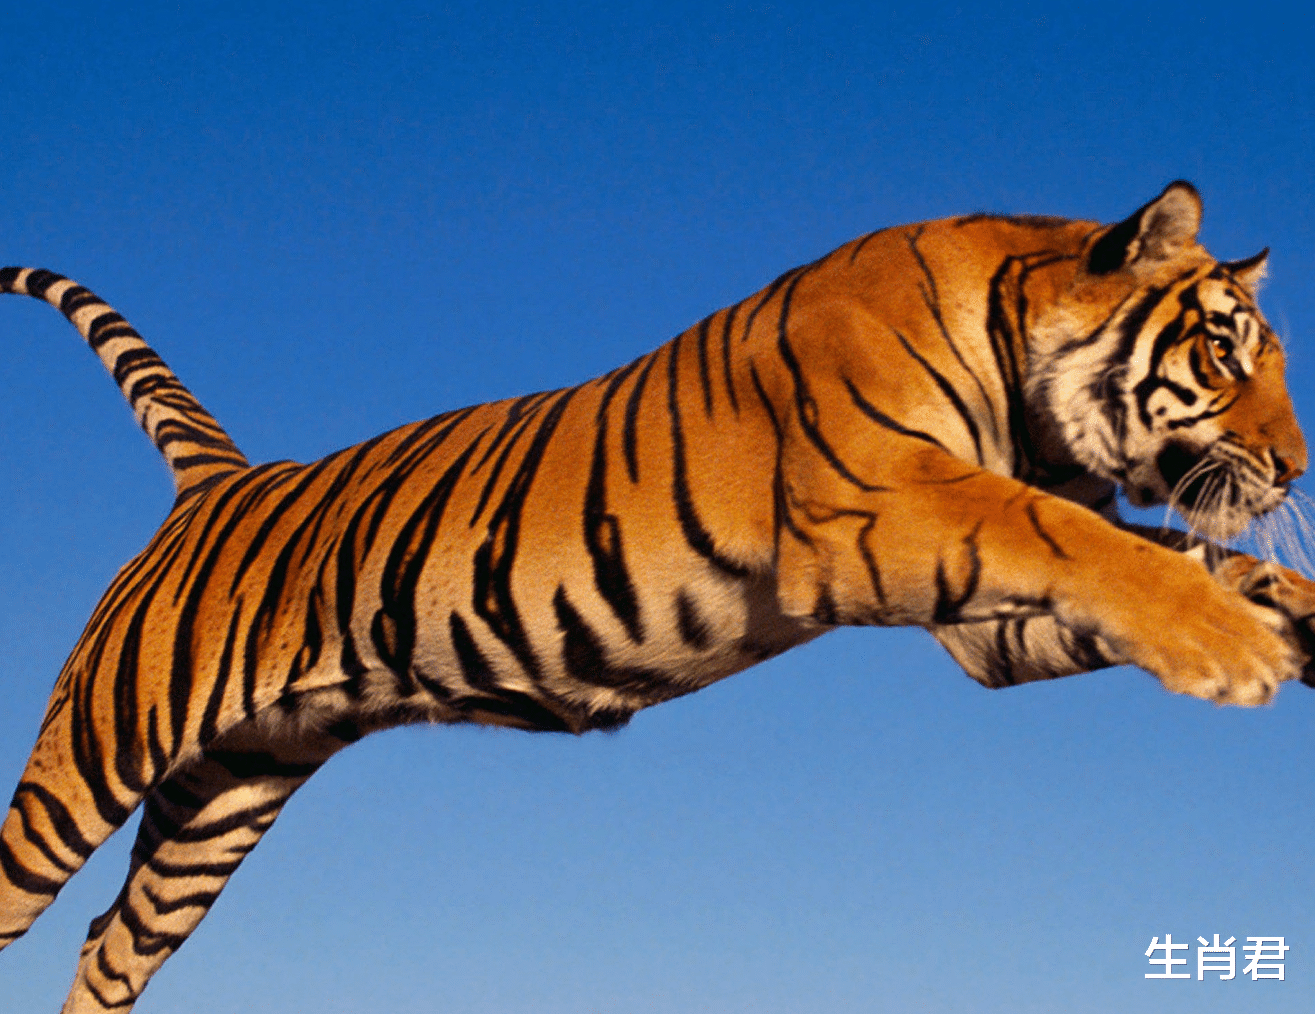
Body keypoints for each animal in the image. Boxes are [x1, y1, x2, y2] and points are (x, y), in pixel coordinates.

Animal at [2, 178, 1315, 1010]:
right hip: (98, 753)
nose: (1297, 467)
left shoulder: (980, 625)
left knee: (110, 948)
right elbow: (1087, 539)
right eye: (1223, 350)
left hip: (222, 798)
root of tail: (222, 478)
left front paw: (1284, 609)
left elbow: (1183, 555)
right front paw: (1231, 645)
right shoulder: (890, 510)